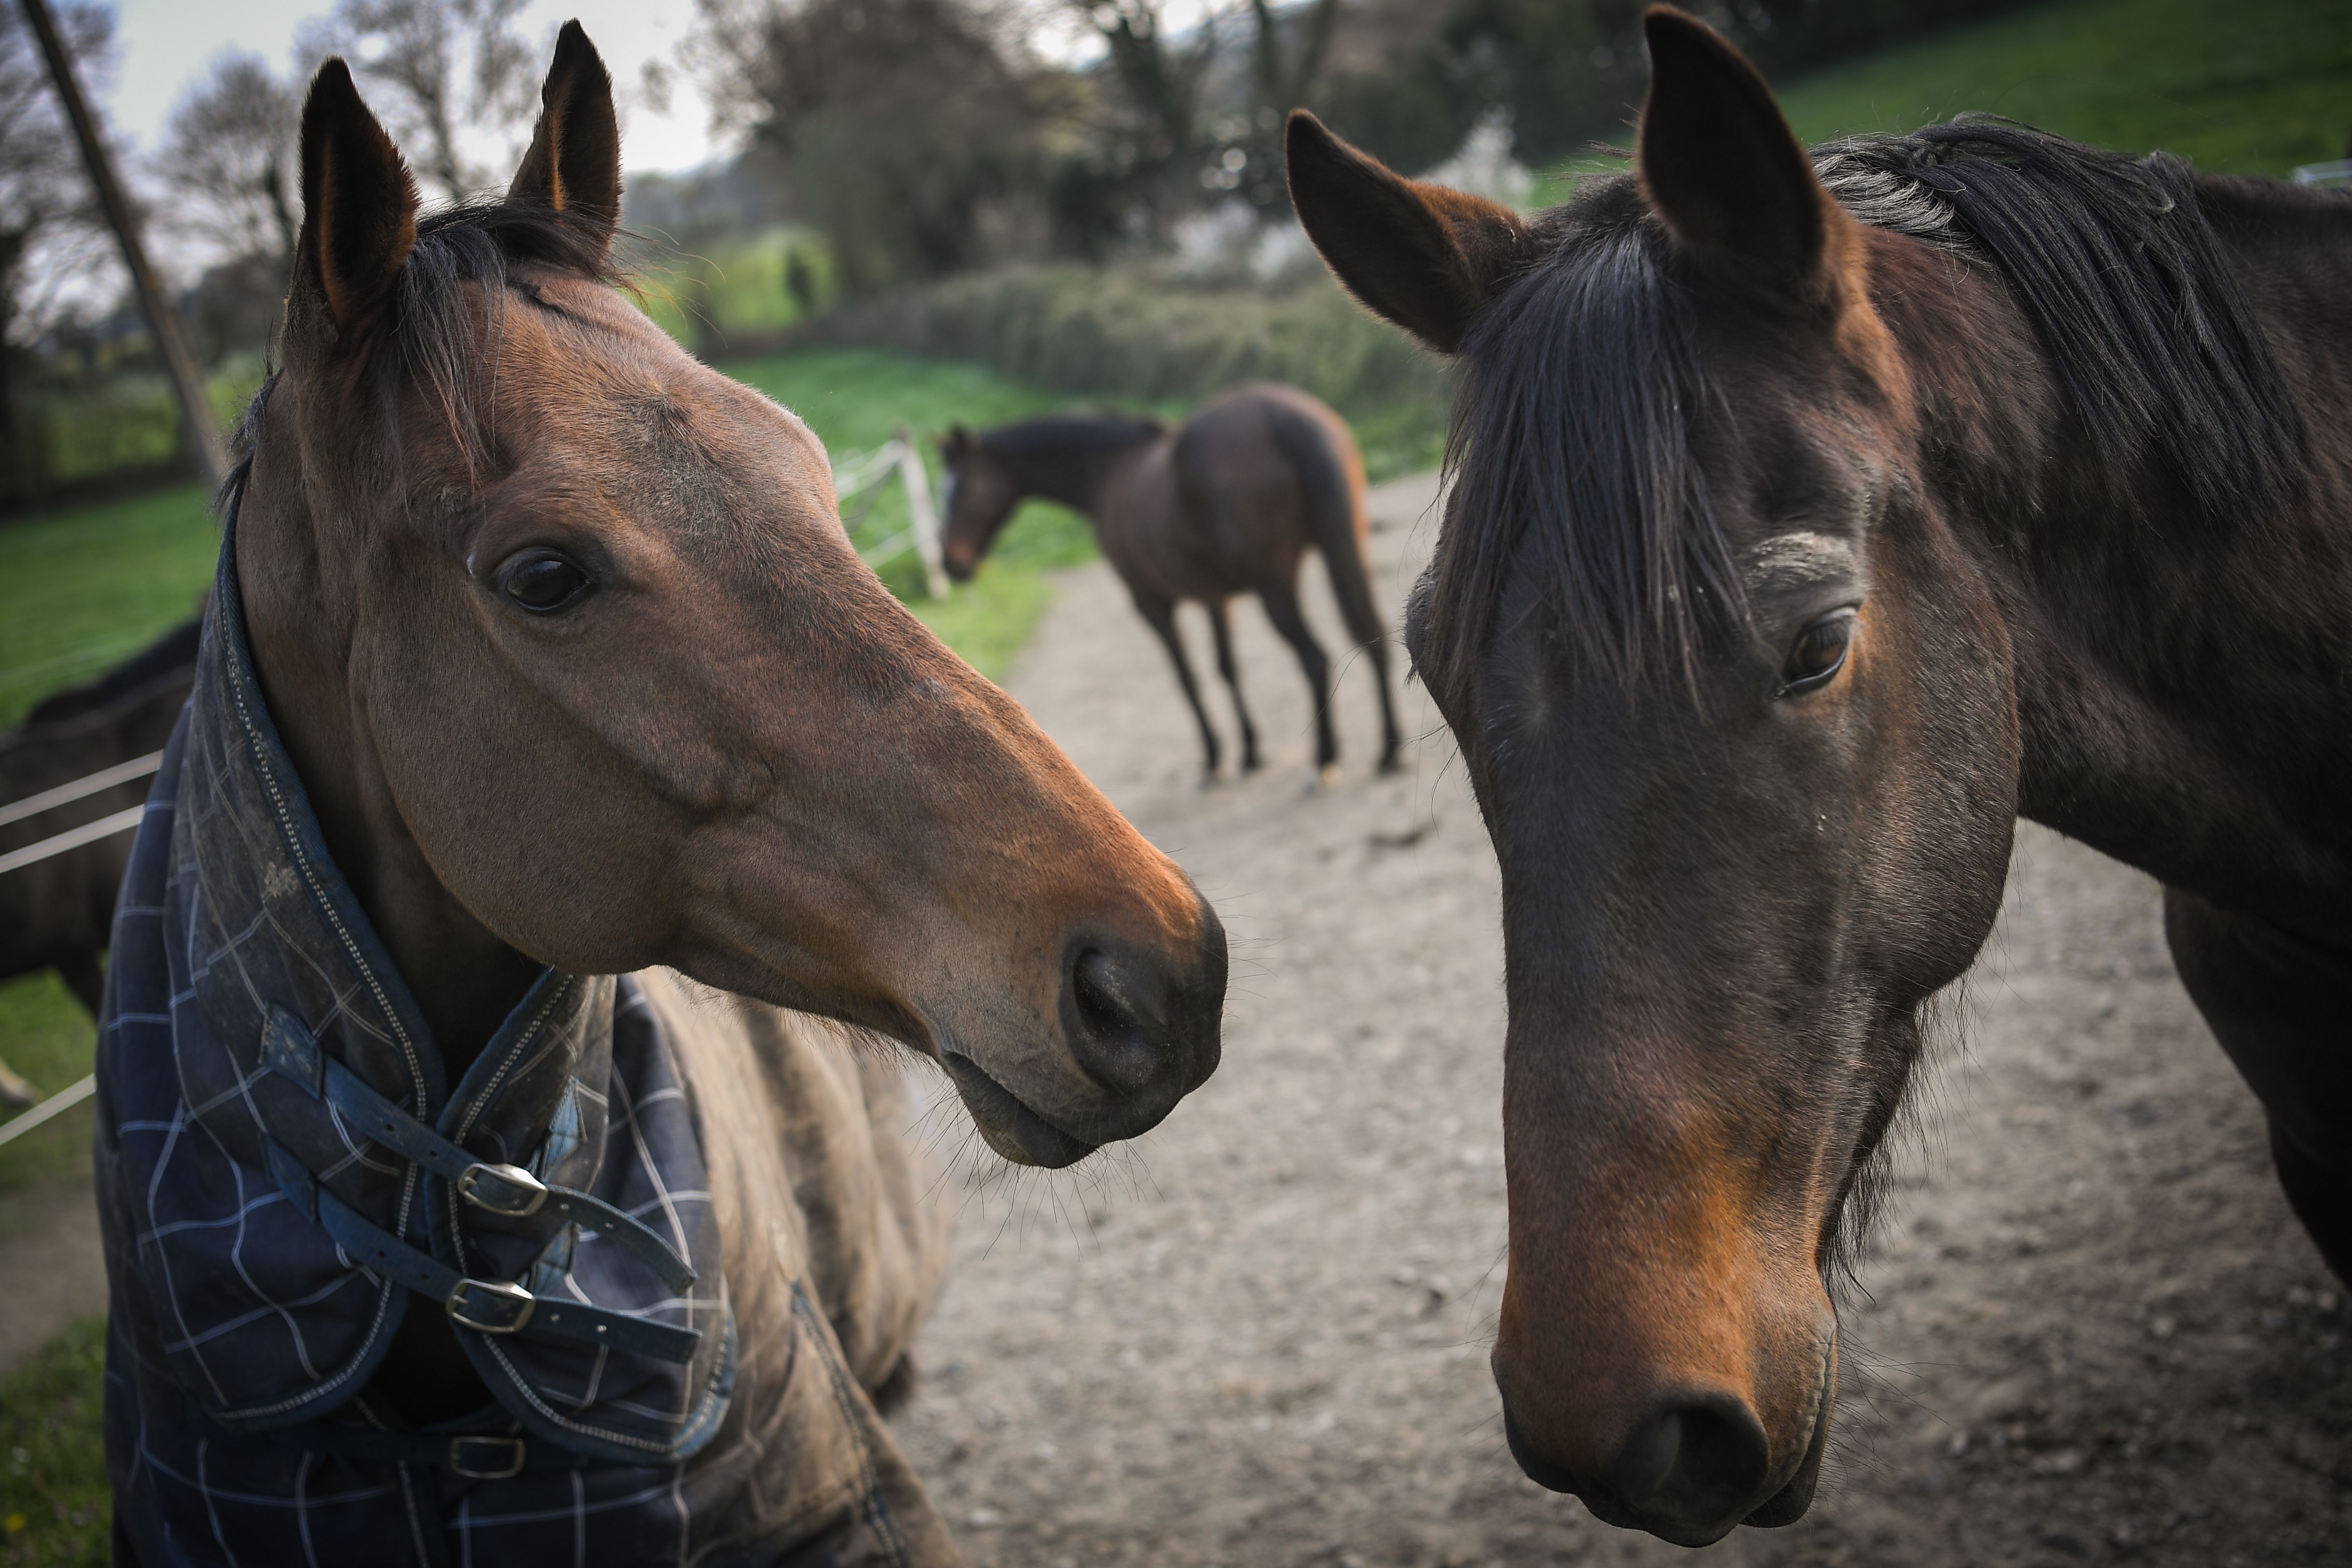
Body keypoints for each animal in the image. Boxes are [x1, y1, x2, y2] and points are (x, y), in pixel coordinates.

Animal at [936, 383, 1401, 785]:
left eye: (962, 490)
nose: (951, 565)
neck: (1110, 471)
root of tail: (1280, 415)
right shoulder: (1216, 599)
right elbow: (1227, 669)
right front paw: (1250, 752)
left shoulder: (1153, 605)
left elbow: (1187, 678)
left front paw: (1215, 759)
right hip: (1345, 547)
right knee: (1371, 635)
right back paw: (1390, 750)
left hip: (1276, 587)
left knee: (1314, 659)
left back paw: (1325, 760)